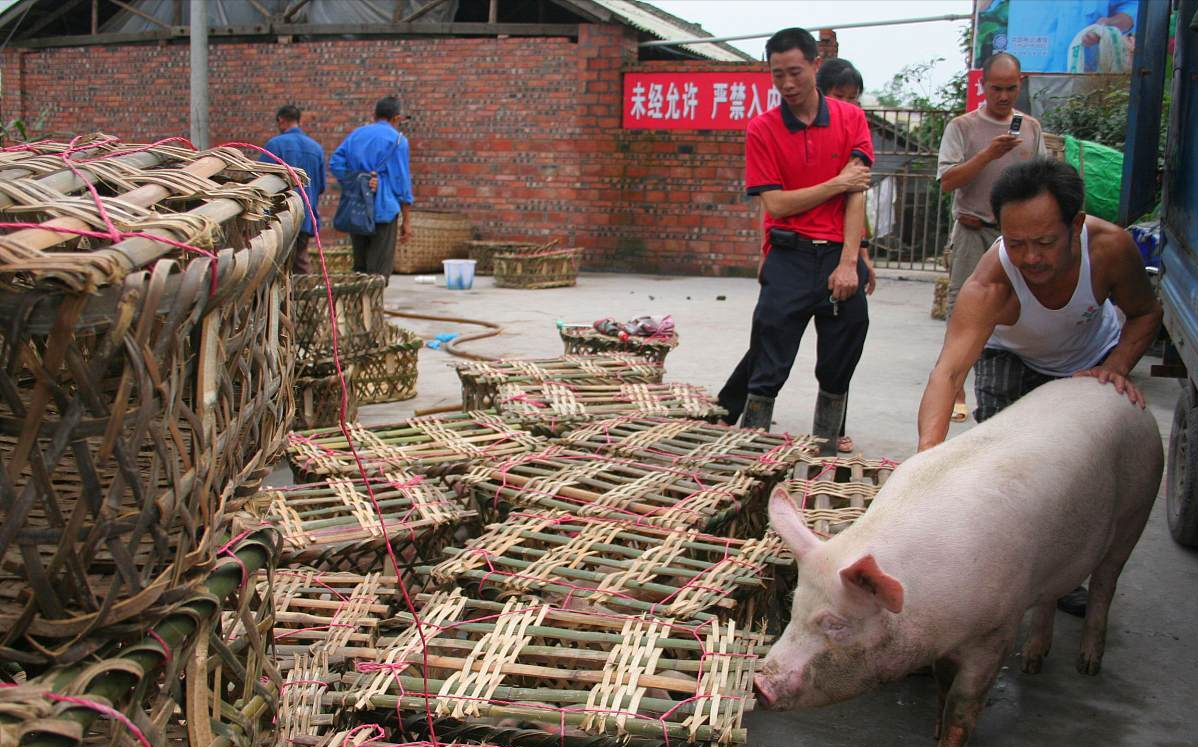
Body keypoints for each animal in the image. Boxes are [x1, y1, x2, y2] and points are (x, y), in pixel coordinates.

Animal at [757, 378, 1159, 747]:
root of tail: (1124, 396)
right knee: (1052, 594)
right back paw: (1032, 663)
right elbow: (943, 684)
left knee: (1106, 582)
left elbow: (964, 704)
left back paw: (1088, 666)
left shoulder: (997, 630)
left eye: (836, 624)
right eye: (793, 607)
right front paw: (934, 728)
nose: (760, 684)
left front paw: (947, 735)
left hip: (1137, 509)